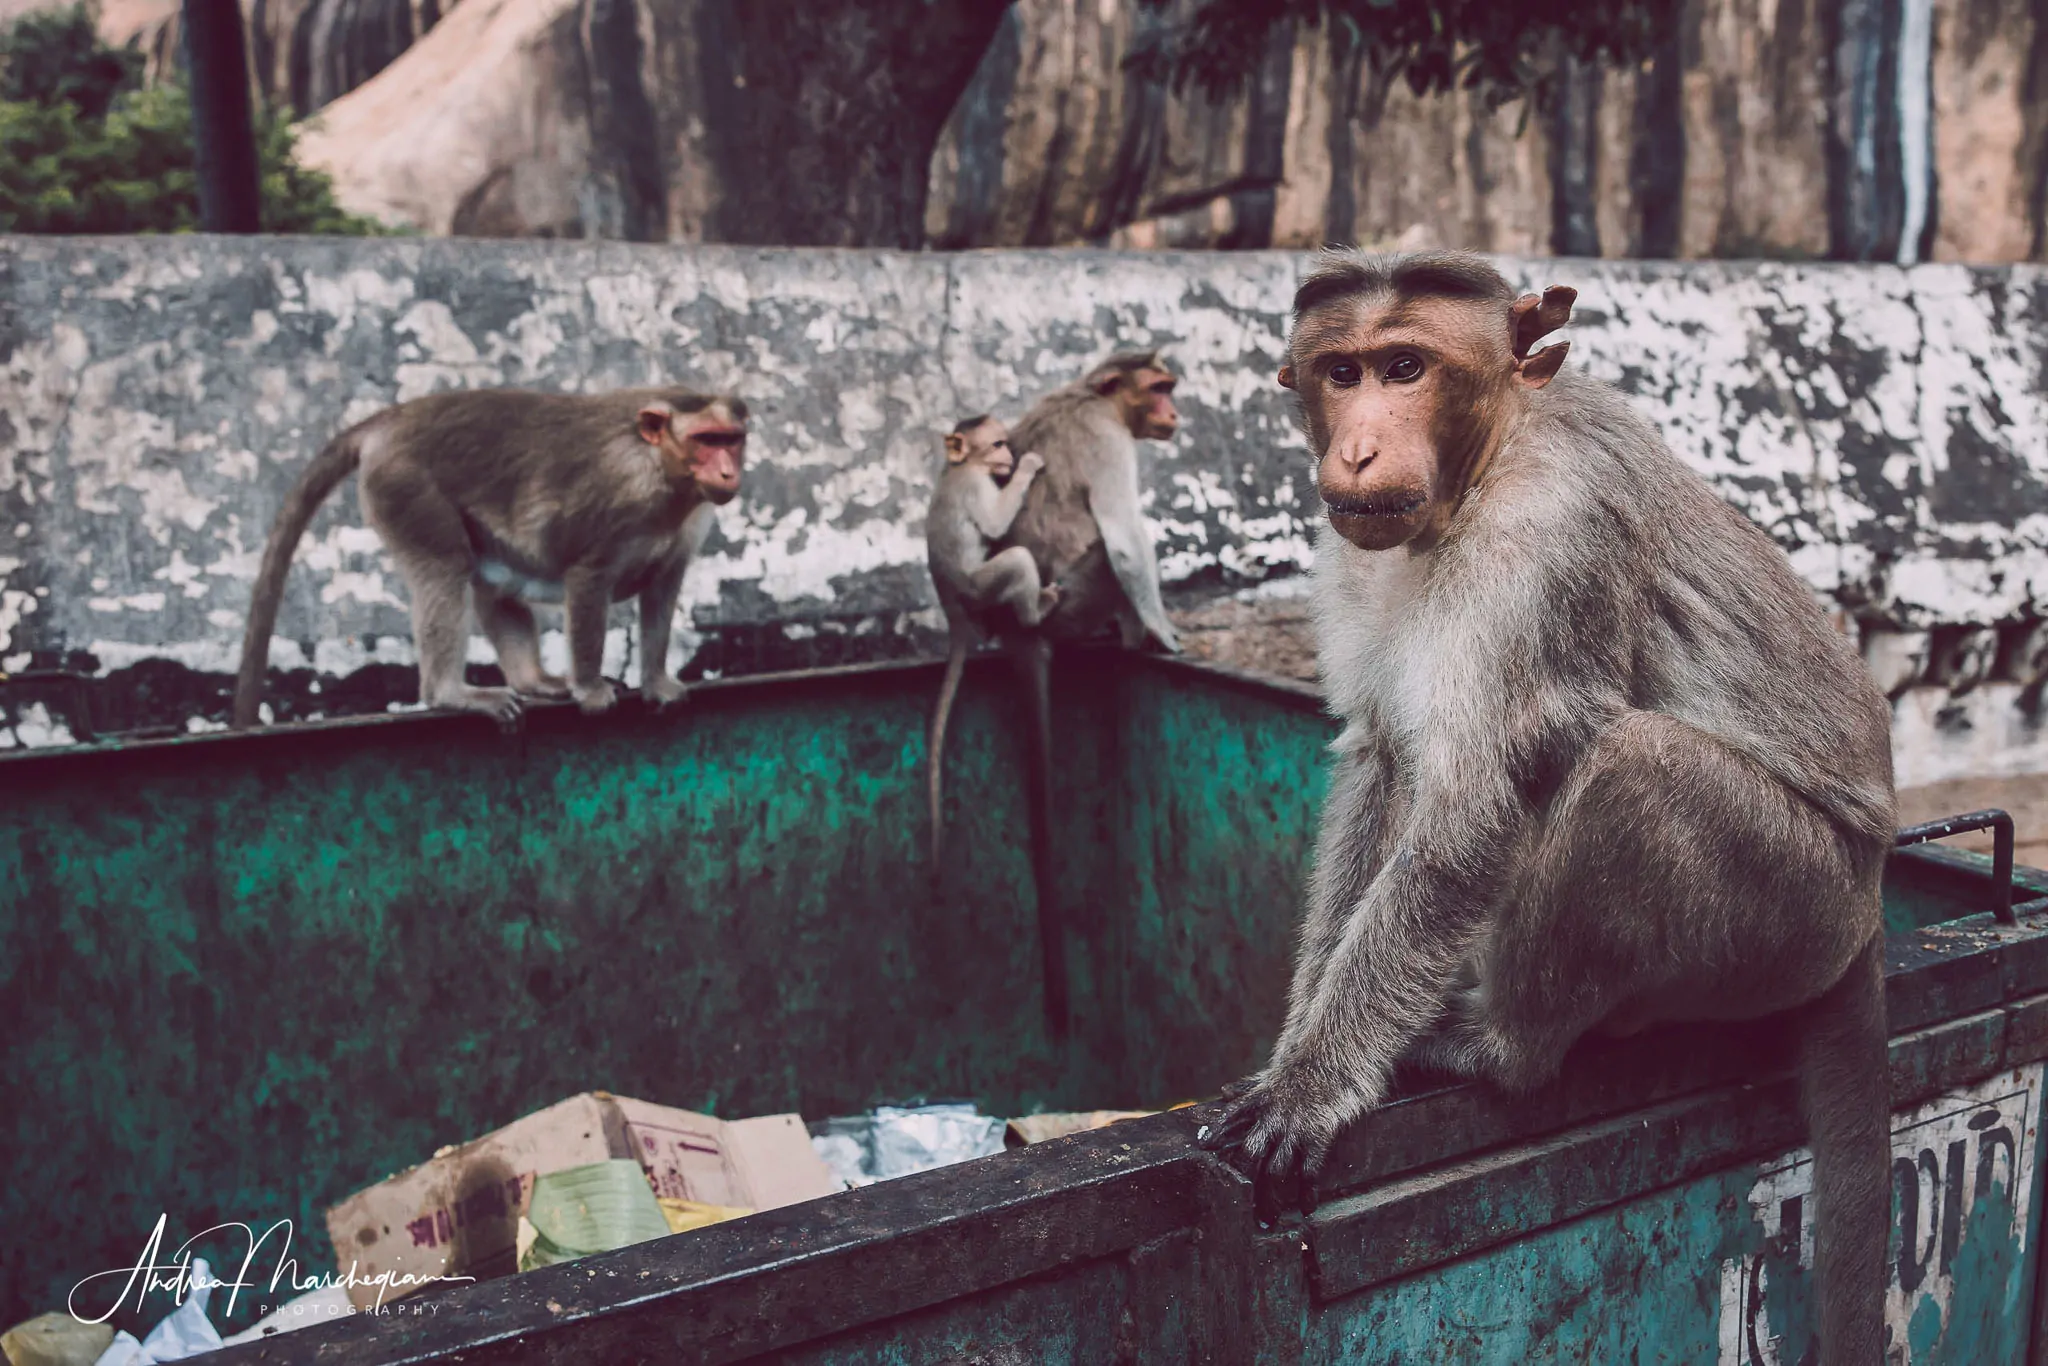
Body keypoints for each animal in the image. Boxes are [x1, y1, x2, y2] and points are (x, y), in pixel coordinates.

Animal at [925, 411, 1056, 872]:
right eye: (998, 444)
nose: (1009, 459)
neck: (965, 465)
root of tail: (952, 609)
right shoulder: (977, 487)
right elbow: (997, 522)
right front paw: (1029, 468)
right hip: (980, 587)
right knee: (1016, 558)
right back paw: (1036, 611)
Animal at [1196, 250, 1892, 1359]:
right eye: (1342, 371)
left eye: (1405, 367)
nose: (1357, 447)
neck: (1482, 467)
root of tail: (1869, 907)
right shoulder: (1357, 554)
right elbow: (1381, 765)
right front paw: (1294, 1047)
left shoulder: (1548, 536)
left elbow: (1480, 801)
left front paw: (1311, 1086)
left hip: (1793, 914)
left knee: (1631, 770)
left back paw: (1501, 1049)